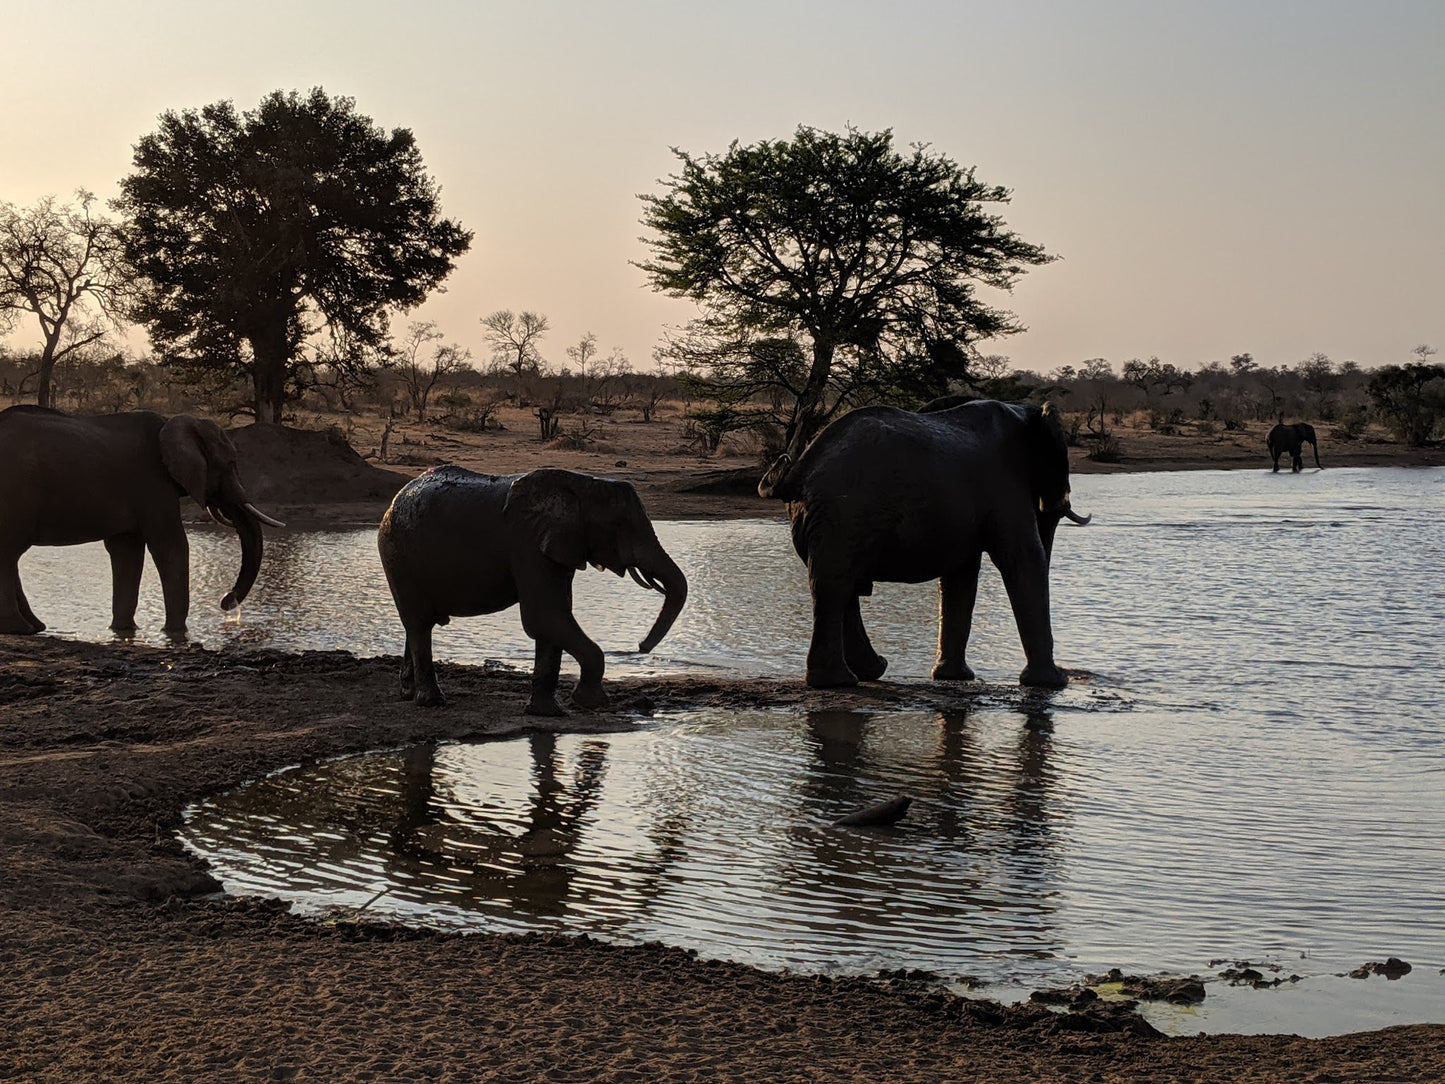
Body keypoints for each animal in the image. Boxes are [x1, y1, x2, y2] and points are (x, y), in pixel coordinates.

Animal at [0, 410, 284, 641]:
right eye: (231, 464)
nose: (227, 602)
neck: (173, 423)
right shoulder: (153, 482)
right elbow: (170, 545)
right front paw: (175, 633)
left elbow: (127, 552)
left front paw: (125, 630)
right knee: (8, 553)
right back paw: (20, 629)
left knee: (11, 556)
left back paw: (35, 627)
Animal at [372, 465, 687, 713]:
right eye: (619, 525)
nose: (640, 646)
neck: (582, 485)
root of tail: (394, 502)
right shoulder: (528, 543)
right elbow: (544, 616)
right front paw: (591, 703)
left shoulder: (556, 547)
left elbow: (553, 620)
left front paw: (547, 713)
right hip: (397, 554)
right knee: (419, 623)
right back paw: (432, 702)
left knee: (416, 625)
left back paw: (408, 694)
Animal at [762, 398, 1086, 687]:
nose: (1066, 674)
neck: (1024, 410)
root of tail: (799, 469)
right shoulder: (1006, 486)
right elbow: (1023, 557)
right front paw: (1054, 682)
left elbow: (961, 576)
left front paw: (954, 678)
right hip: (844, 512)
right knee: (836, 585)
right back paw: (841, 681)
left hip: (825, 517)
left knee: (837, 586)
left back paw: (866, 672)